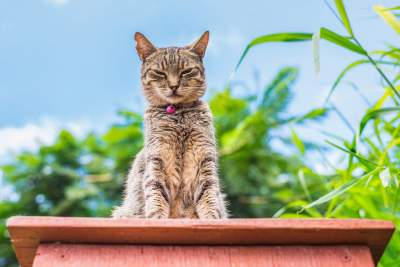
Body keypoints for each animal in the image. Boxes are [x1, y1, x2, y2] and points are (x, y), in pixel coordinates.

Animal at [111, 31, 228, 220]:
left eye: (186, 71)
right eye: (160, 73)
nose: (174, 86)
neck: (178, 114)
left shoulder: (204, 160)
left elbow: (209, 195)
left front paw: (212, 219)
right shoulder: (157, 159)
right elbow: (155, 192)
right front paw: (157, 218)